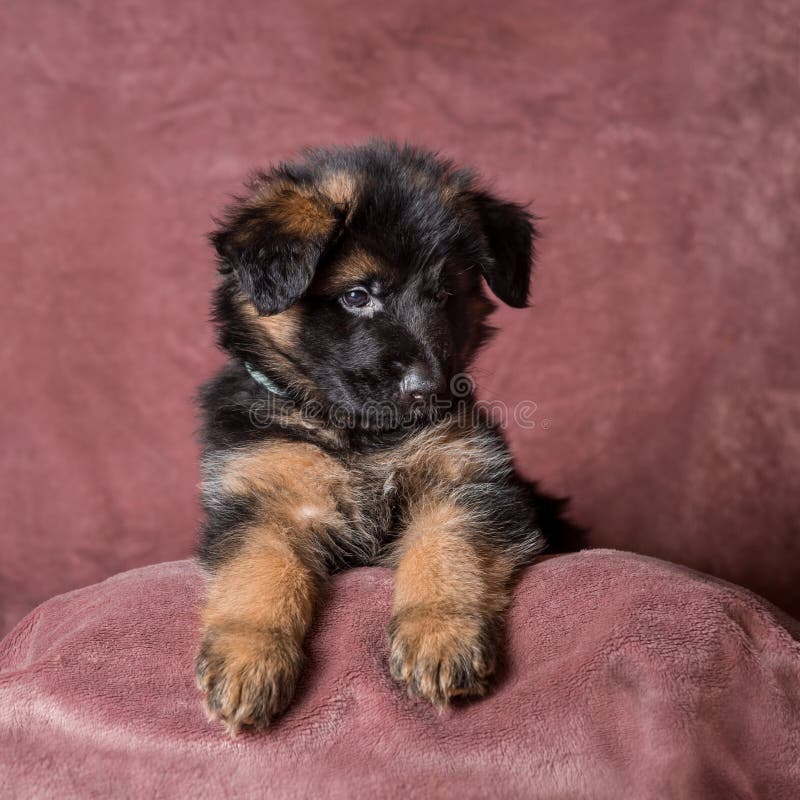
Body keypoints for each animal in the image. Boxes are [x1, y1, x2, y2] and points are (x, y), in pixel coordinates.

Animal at [194, 141, 580, 736]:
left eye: (445, 292)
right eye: (358, 295)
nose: (428, 390)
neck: (358, 438)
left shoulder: (466, 481)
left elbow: (444, 549)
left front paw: (439, 634)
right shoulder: (260, 501)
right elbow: (258, 575)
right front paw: (247, 658)